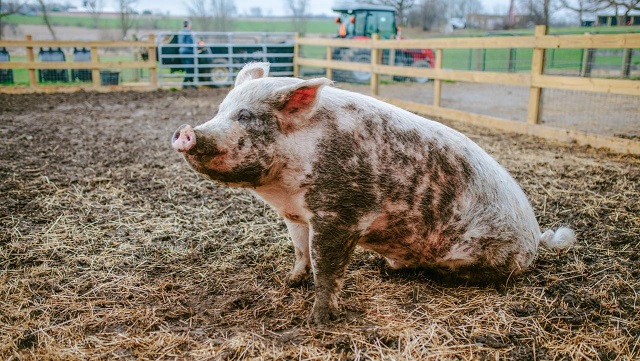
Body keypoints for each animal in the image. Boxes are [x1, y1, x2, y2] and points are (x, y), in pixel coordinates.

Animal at [170, 61, 576, 324]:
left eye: (245, 116)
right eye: (221, 109)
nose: (186, 132)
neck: (284, 186)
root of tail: (537, 237)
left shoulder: (339, 213)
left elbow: (327, 266)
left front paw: (318, 320)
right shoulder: (295, 215)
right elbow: (300, 251)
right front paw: (288, 281)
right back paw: (387, 267)